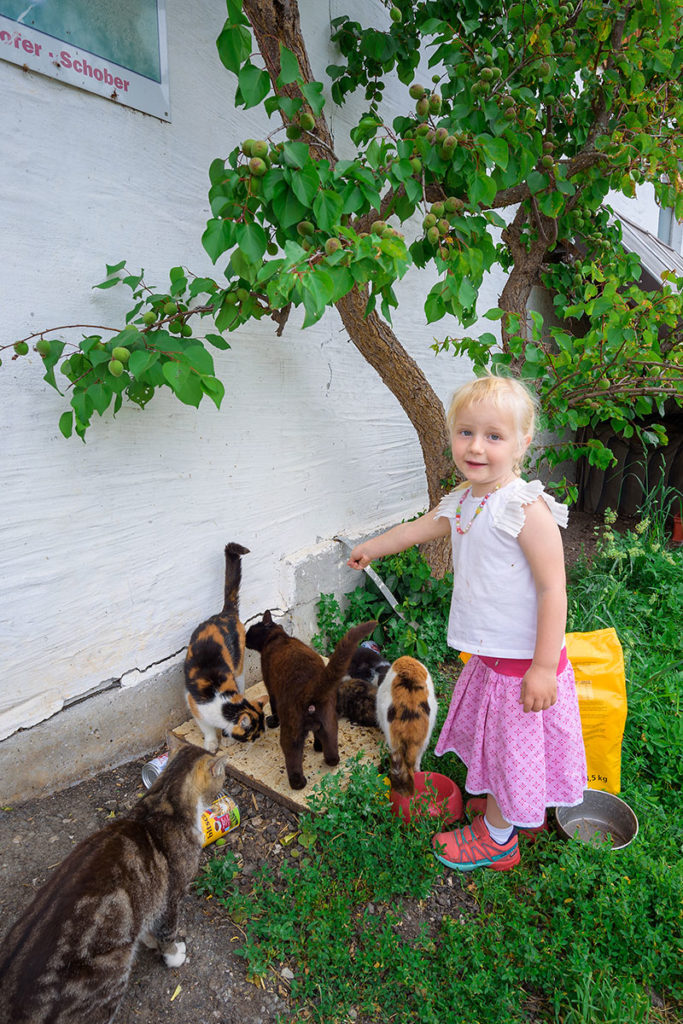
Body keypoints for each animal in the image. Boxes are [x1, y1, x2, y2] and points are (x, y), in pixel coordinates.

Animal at [0, 733, 229, 1024]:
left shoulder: (151, 899)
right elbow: (167, 931)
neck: (163, 802)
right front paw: (173, 955)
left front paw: (148, 940)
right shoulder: (172, 896)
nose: (223, 792)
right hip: (111, 975)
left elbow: (147, 924)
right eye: (222, 777)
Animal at [183, 544, 266, 753]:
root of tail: (225, 613)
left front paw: (227, 738)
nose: (255, 743)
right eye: (254, 735)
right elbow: (207, 728)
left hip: (238, 668)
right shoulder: (195, 706)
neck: (222, 704)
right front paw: (212, 743)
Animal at [244, 610, 376, 786]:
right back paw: (322, 752)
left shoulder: (271, 688)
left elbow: (273, 707)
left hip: (291, 732)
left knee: (293, 757)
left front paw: (272, 721)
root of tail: (311, 689)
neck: (278, 637)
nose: (244, 637)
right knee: (330, 749)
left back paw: (298, 783)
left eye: (251, 629)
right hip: (329, 724)